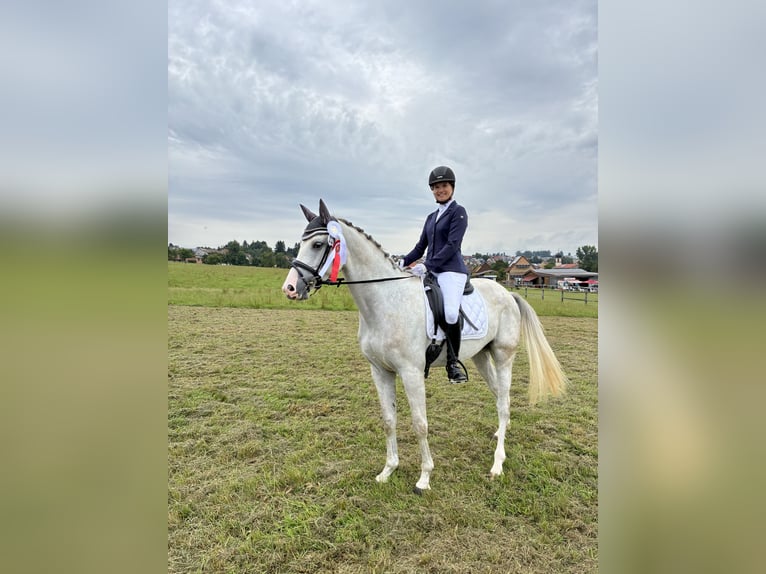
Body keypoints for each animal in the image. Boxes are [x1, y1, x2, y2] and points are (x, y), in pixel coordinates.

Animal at [281, 199, 568, 494]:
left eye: (318, 244)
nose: (289, 288)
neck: (386, 301)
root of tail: (508, 293)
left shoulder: (411, 372)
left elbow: (420, 424)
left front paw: (424, 477)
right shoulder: (380, 371)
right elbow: (389, 420)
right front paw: (388, 470)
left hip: (503, 356)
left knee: (503, 404)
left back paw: (497, 463)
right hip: (481, 357)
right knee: (500, 396)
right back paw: (501, 432)